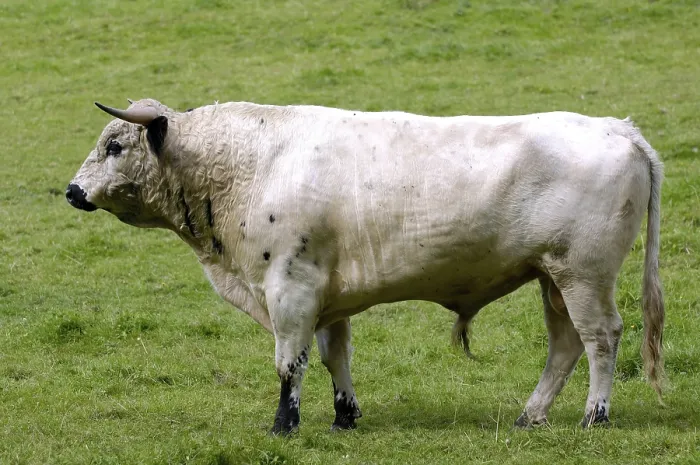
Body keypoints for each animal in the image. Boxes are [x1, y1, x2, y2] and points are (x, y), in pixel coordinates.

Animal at [66, 98, 665, 435]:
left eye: (114, 145)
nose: (72, 191)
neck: (248, 163)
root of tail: (619, 127)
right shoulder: (325, 296)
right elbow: (335, 358)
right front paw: (344, 416)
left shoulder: (289, 289)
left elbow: (290, 363)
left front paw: (284, 425)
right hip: (553, 277)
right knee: (565, 344)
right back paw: (530, 415)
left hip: (583, 275)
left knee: (601, 338)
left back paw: (594, 416)